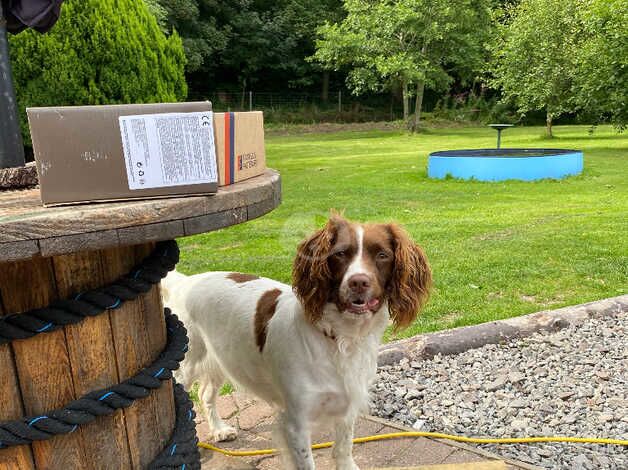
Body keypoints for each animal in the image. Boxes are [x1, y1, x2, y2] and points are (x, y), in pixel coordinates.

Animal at [162, 215, 432, 468]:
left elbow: (344, 448)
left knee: (206, 393)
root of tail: (185, 282)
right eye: (340, 254)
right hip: (187, 366)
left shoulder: (348, 404)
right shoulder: (296, 422)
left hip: (221, 355)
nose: (358, 282)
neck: (341, 337)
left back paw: (219, 430)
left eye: (382, 255)